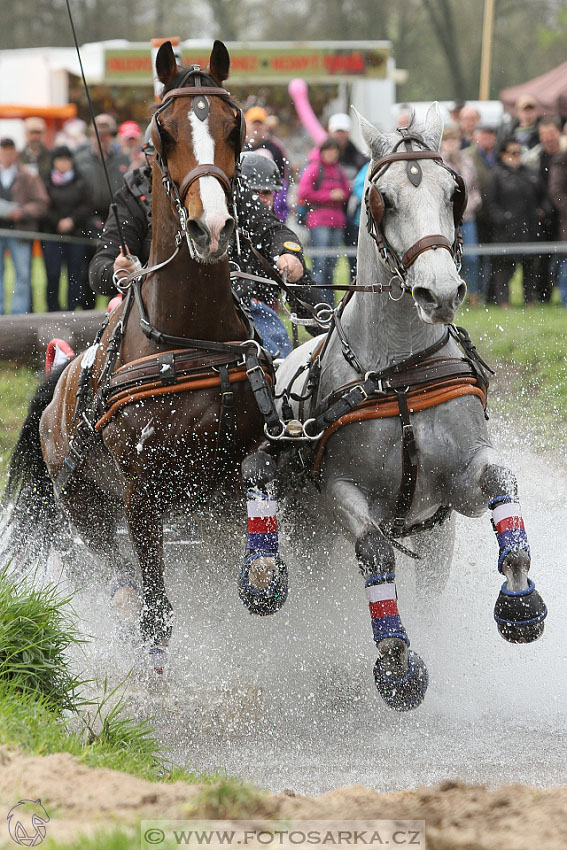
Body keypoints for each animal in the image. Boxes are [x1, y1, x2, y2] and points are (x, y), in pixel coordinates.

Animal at [3, 41, 280, 668]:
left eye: (234, 126)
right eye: (164, 133)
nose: (212, 227)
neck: (188, 343)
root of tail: (61, 377)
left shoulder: (231, 472)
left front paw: (263, 580)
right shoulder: (141, 493)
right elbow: (157, 610)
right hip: (85, 506)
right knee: (119, 574)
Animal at [239, 104, 544, 708]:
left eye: (454, 192)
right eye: (385, 199)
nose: (440, 292)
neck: (399, 373)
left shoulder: (456, 487)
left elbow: (501, 480)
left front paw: (520, 596)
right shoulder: (339, 490)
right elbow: (375, 552)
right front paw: (397, 664)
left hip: (434, 538)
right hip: (307, 533)